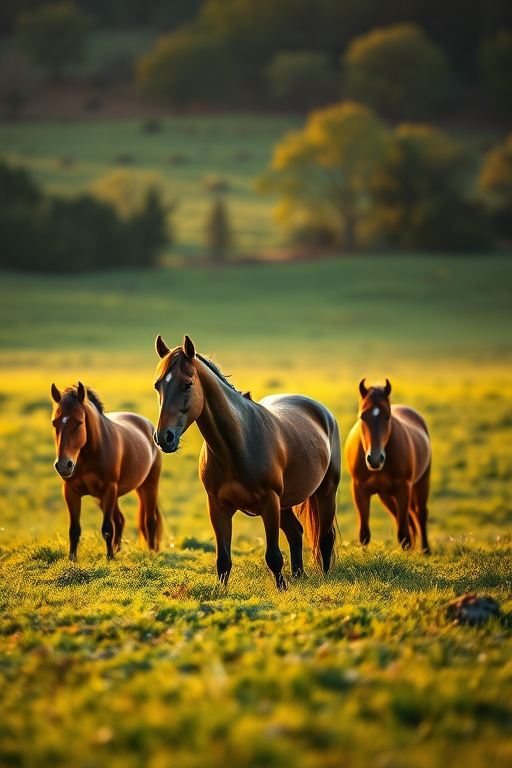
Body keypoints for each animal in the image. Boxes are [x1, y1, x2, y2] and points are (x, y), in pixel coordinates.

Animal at [51, 382, 163, 560]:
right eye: (54, 423)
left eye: (79, 423)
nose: (63, 465)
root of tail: (147, 424)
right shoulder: (71, 492)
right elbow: (74, 529)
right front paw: (72, 559)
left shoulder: (109, 489)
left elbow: (107, 528)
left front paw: (109, 558)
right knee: (120, 520)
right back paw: (118, 550)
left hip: (148, 485)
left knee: (149, 520)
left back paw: (151, 553)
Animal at [152, 335, 341, 590]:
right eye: (158, 385)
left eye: (187, 384)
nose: (164, 438)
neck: (237, 446)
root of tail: (321, 411)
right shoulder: (218, 507)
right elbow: (223, 560)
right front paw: (222, 592)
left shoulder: (270, 503)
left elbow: (273, 556)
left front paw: (281, 590)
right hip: (286, 503)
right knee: (295, 532)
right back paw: (298, 575)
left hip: (325, 491)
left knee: (325, 536)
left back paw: (325, 575)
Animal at [344, 379, 431, 553]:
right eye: (362, 416)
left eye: (387, 416)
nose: (375, 459)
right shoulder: (359, 490)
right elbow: (364, 534)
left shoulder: (404, 489)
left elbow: (403, 534)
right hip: (385, 496)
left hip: (421, 482)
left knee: (420, 515)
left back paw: (426, 550)